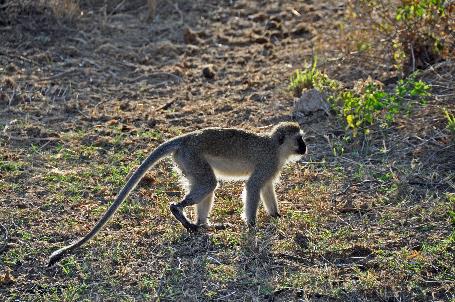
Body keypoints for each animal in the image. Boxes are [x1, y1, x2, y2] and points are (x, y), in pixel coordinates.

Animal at [48, 121, 308, 266]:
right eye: (299, 139)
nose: (305, 147)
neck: (275, 147)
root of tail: (186, 139)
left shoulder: (271, 168)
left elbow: (266, 189)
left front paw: (276, 216)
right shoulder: (267, 162)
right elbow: (253, 187)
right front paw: (252, 227)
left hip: (187, 162)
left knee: (207, 186)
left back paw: (203, 225)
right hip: (192, 157)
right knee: (208, 184)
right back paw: (181, 214)